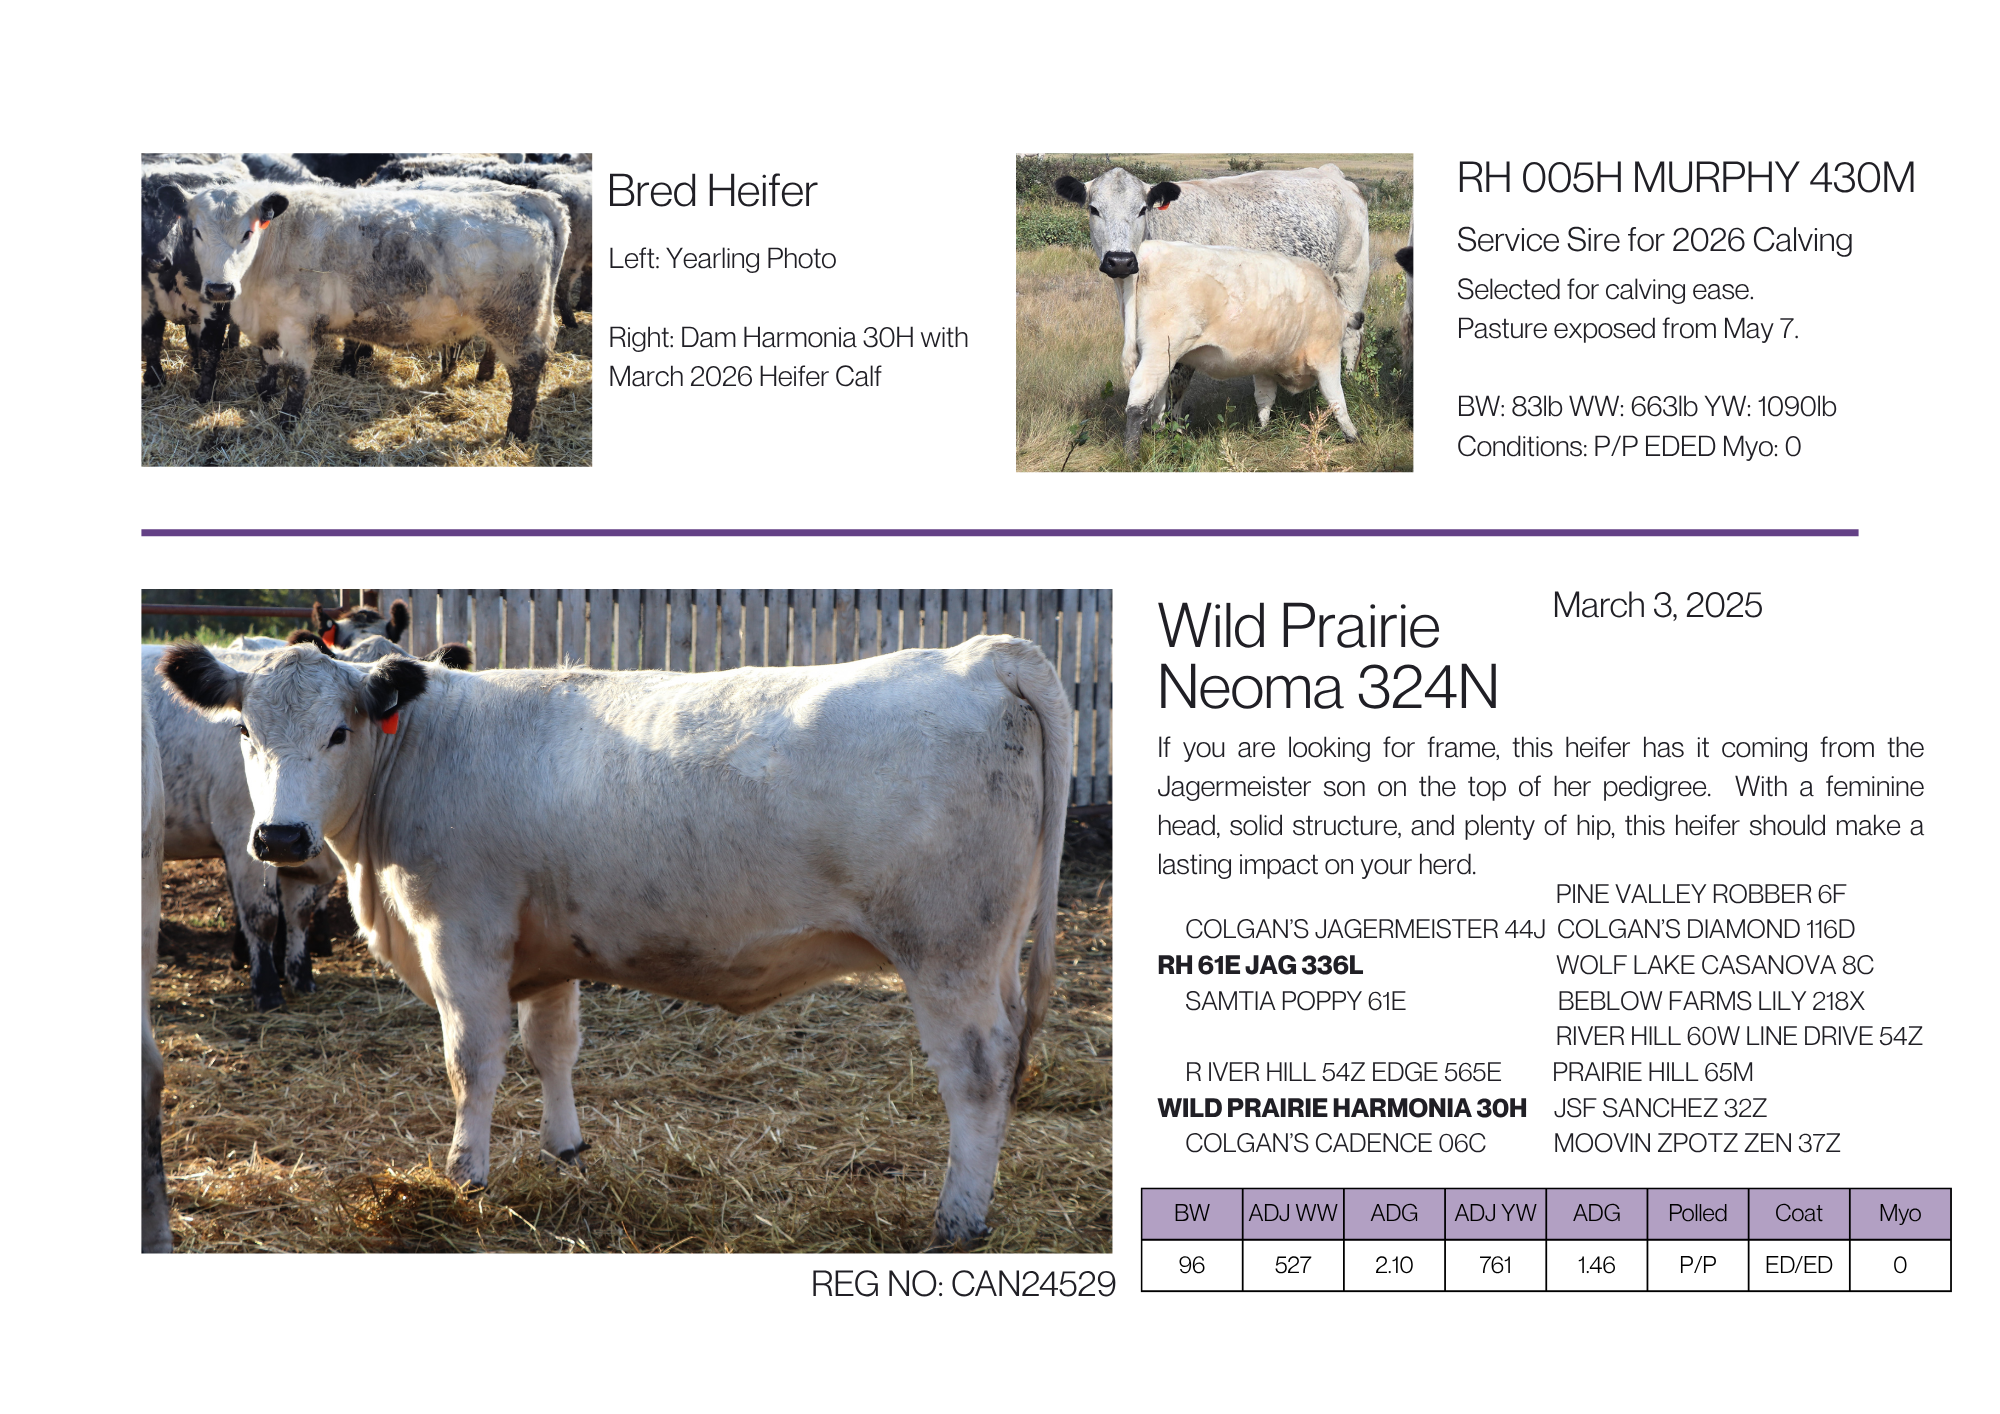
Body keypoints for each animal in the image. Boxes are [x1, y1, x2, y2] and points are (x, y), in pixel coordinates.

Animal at [158, 635, 1070, 1247]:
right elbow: (553, 1046)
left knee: (978, 1072)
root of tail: (981, 654)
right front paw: (566, 1149)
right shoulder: (549, 946)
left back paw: (959, 1217)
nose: (279, 836)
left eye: (339, 732)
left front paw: (464, 1175)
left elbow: (472, 1061)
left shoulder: (462, 935)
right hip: (993, 954)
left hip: (947, 952)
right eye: (244, 731)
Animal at [160, 183, 569, 439]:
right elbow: (270, 362)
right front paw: (264, 393)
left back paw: (515, 433)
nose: (219, 288)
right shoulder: (271, 322)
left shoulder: (298, 323)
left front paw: (287, 422)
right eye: (196, 231)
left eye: (247, 233)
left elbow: (296, 375)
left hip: (515, 322)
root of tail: (535, 199)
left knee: (527, 373)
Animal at [1055, 163, 1372, 374]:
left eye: (1142, 209)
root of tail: (1332, 172)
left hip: (1353, 275)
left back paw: (1348, 379)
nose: (1120, 260)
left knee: (1352, 335)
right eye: (1094, 209)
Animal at [1120, 240, 1360, 458]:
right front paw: (1353, 435)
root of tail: (1151, 248)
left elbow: (1264, 398)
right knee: (1140, 397)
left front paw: (1263, 430)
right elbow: (1336, 399)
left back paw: (1160, 434)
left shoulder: (1265, 364)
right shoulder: (1327, 358)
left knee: (1158, 400)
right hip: (1160, 351)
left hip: (1164, 357)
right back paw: (1132, 456)